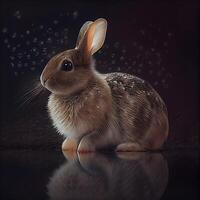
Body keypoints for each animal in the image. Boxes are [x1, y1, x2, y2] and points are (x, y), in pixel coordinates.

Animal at [39, 18, 168, 152]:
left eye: (67, 65)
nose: (43, 79)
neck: (81, 89)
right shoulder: (76, 134)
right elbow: (73, 139)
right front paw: (67, 147)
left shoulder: (103, 128)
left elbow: (89, 138)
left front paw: (82, 149)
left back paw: (125, 147)